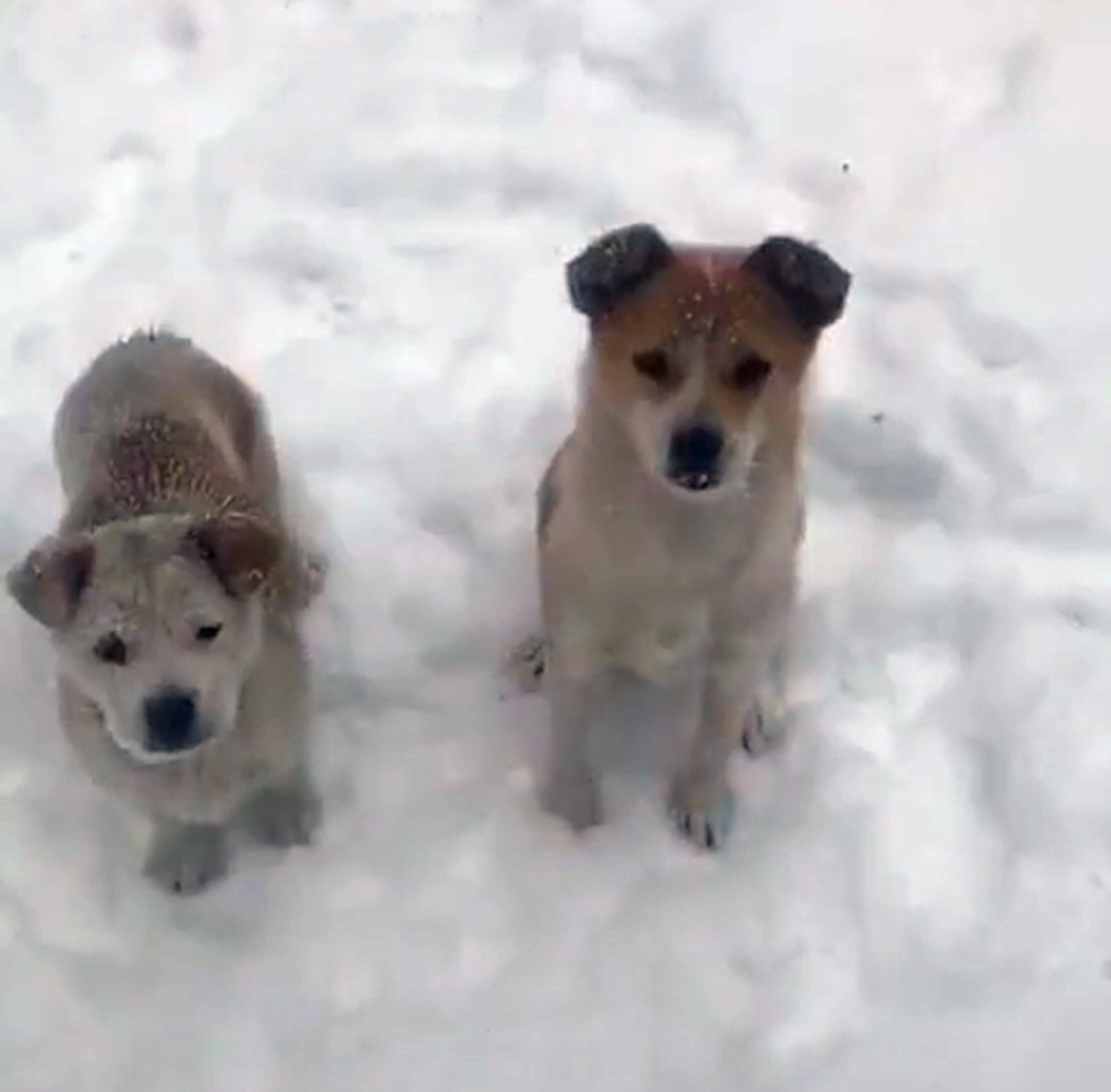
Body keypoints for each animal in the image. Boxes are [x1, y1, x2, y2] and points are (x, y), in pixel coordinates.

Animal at [6, 333, 324, 897]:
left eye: (208, 629)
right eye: (109, 647)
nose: (171, 710)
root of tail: (146, 341)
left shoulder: (284, 696)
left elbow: (285, 761)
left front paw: (284, 810)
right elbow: (167, 813)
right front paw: (184, 850)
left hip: (260, 462)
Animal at [517, 222, 848, 848]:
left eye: (754, 367)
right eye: (650, 360)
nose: (698, 444)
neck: (678, 538)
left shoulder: (737, 644)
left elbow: (713, 736)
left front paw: (701, 807)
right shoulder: (578, 642)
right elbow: (571, 746)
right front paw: (573, 826)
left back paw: (763, 704)